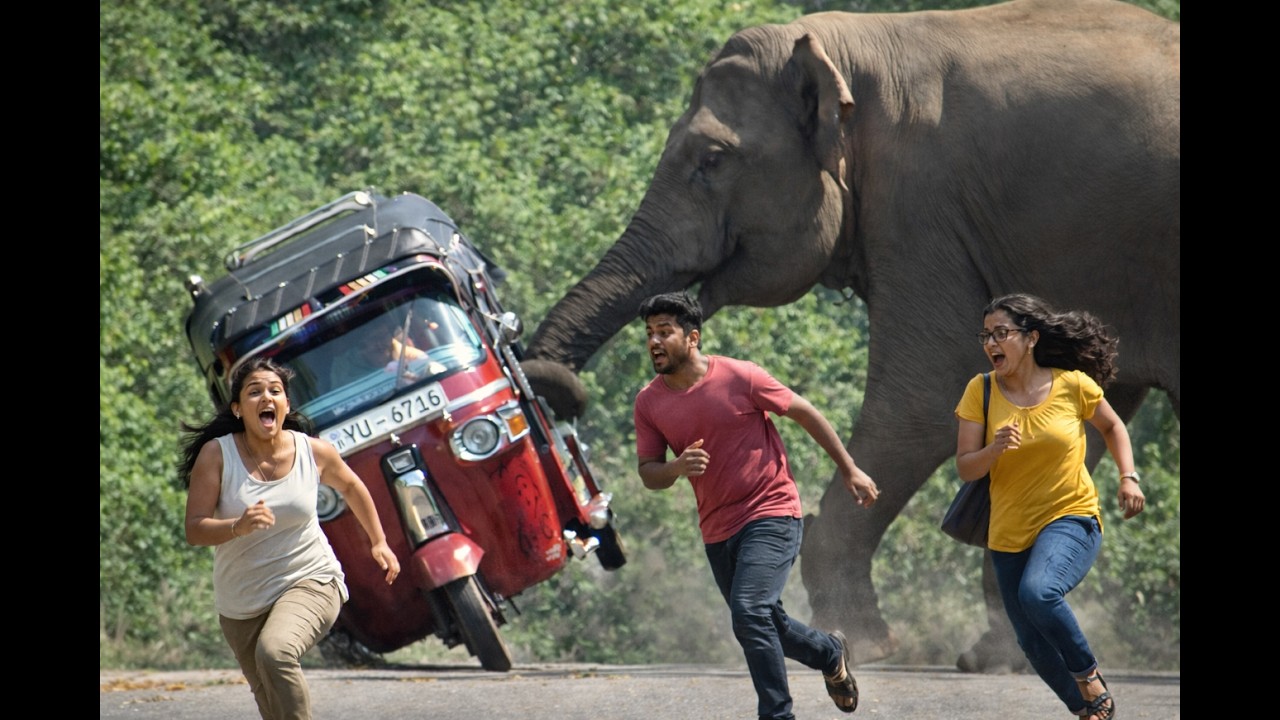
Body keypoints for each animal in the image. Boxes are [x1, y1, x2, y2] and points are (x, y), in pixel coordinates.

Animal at [521, 0, 1179, 670]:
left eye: (711, 159)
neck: (855, 50)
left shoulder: (919, 206)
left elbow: (924, 398)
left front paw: (866, 644)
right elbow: (1083, 412)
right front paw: (996, 655)